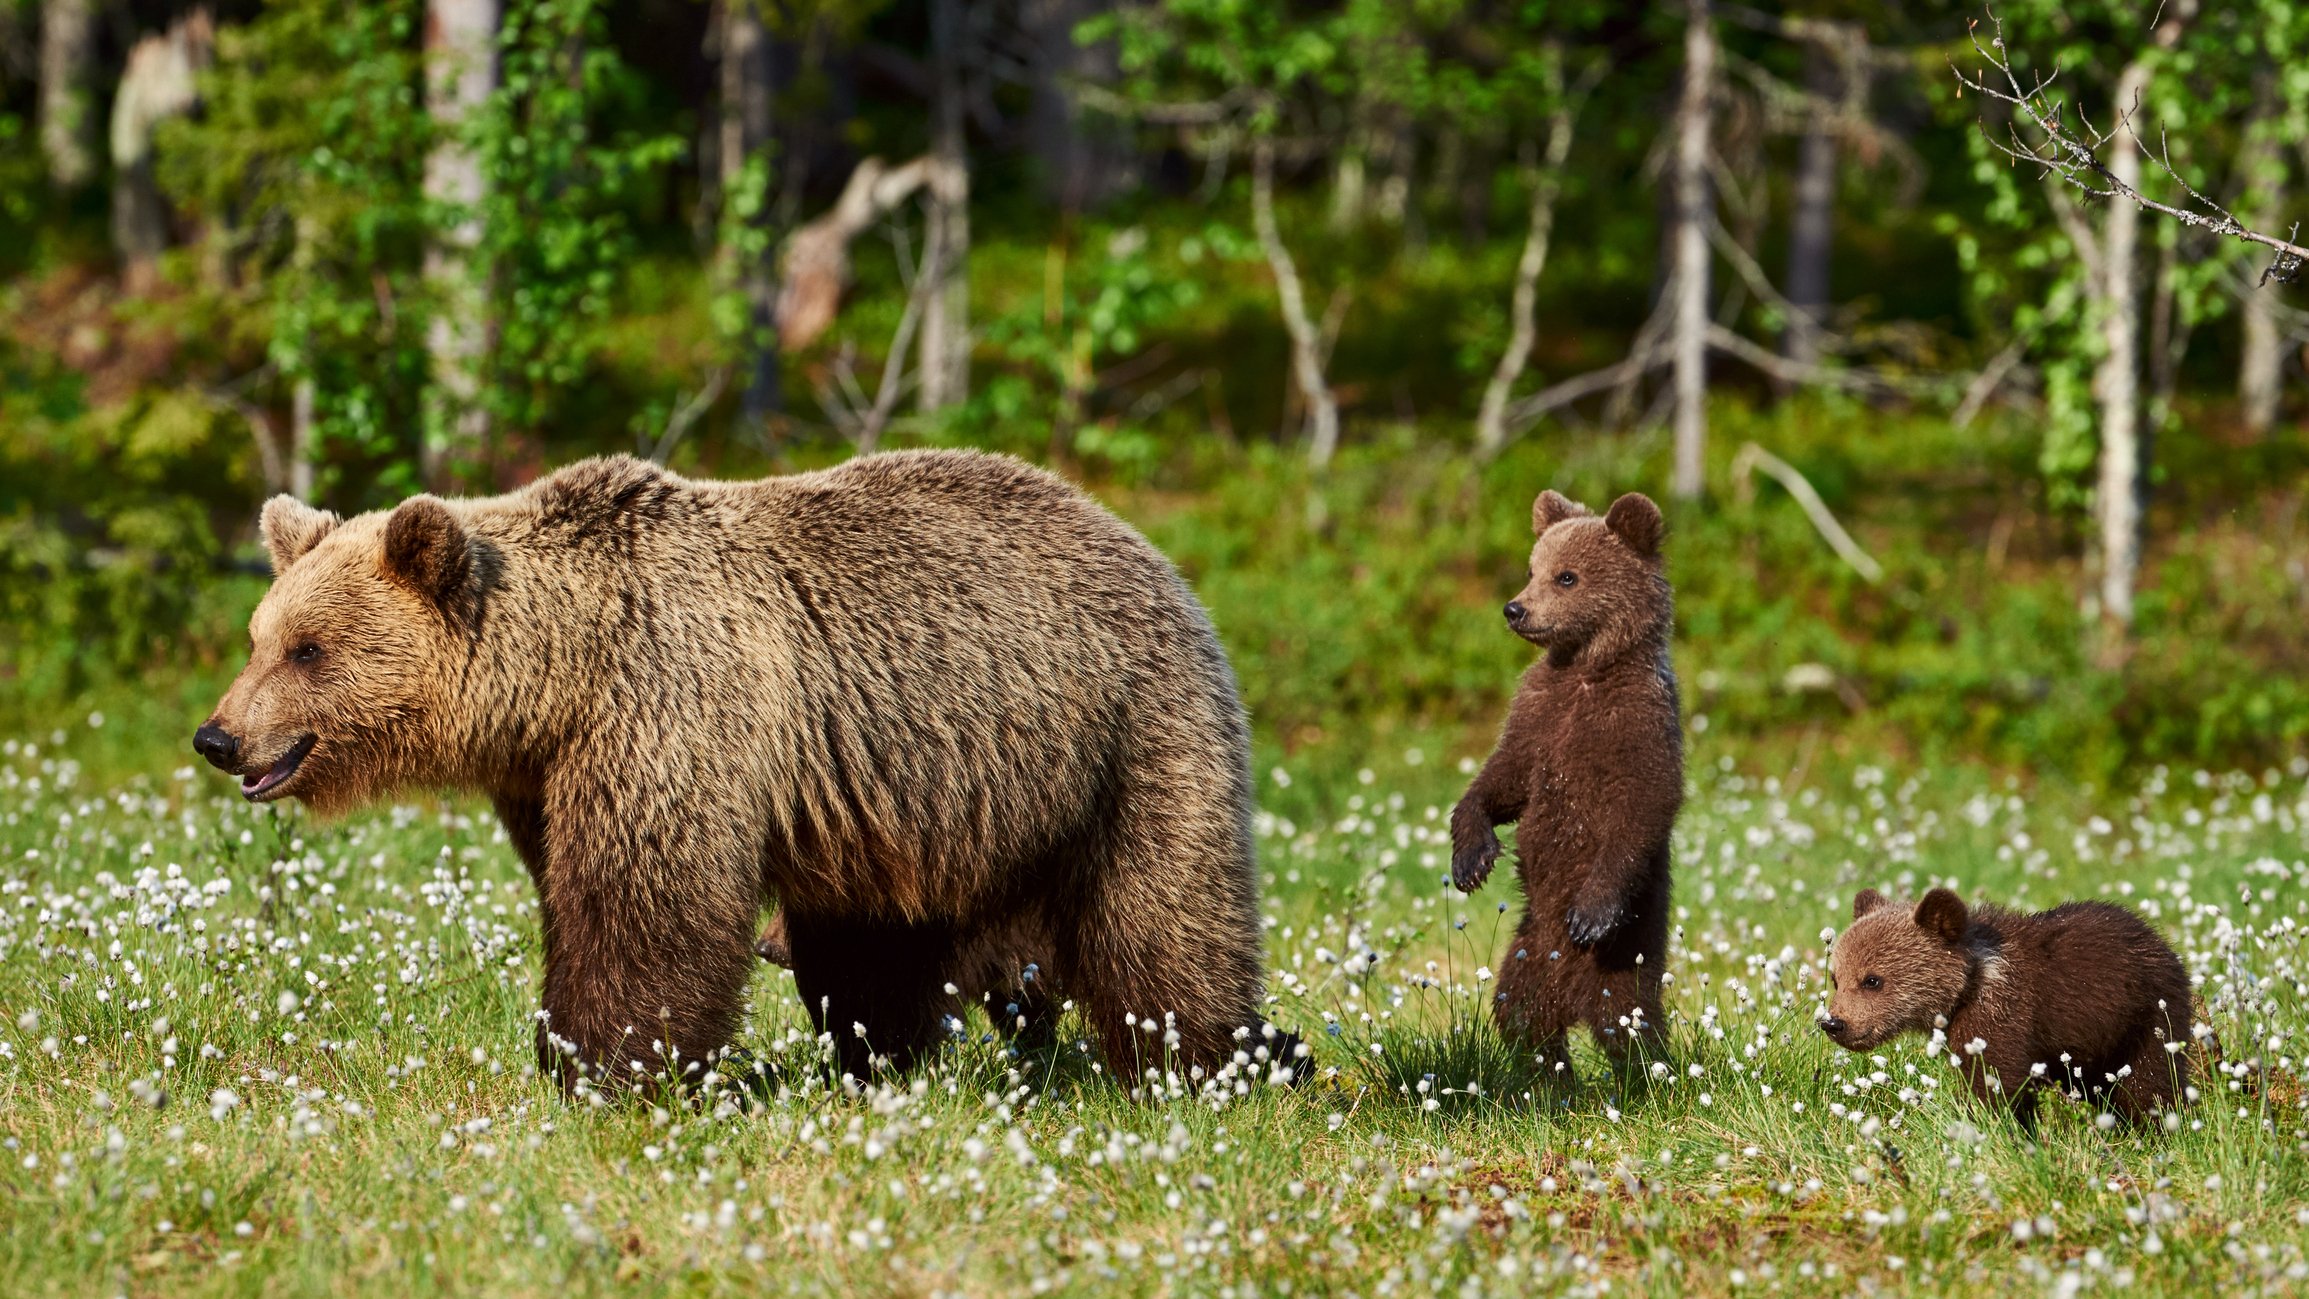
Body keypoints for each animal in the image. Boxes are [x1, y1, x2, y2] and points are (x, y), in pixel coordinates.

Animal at [192, 450, 1281, 1091]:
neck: (561, 675)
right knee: (872, 939)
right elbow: (571, 888)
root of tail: (1146, 547)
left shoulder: (671, 702)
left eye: (309, 650)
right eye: (258, 637)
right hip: (905, 791)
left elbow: (646, 899)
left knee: (1159, 911)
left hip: (1122, 729)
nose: (219, 737)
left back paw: (1209, 1059)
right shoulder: (547, 772)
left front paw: (606, 1067)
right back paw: (880, 1058)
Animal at [1448, 489, 1682, 1069]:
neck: (1585, 668)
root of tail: (1573, 1000)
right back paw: (1550, 1075)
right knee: (1520, 1019)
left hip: (1625, 961)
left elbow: (1644, 803)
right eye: (1532, 569)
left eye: (1568, 576)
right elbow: (1503, 780)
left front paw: (1591, 913)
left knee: (1632, 1029)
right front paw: (1472, 857)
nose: (1515, 608)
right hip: (1524, 952)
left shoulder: (1637, 724)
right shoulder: (1538, 715)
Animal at [1824, 887, 2193, 1131]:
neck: (1970, 985)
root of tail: (2162, 942)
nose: (1834, 1023)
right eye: (1836, 978)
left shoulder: (2000, 1019)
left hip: (2146, 1019)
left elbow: (1995, 1083)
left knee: (2151, 1083)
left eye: (1872, 980)